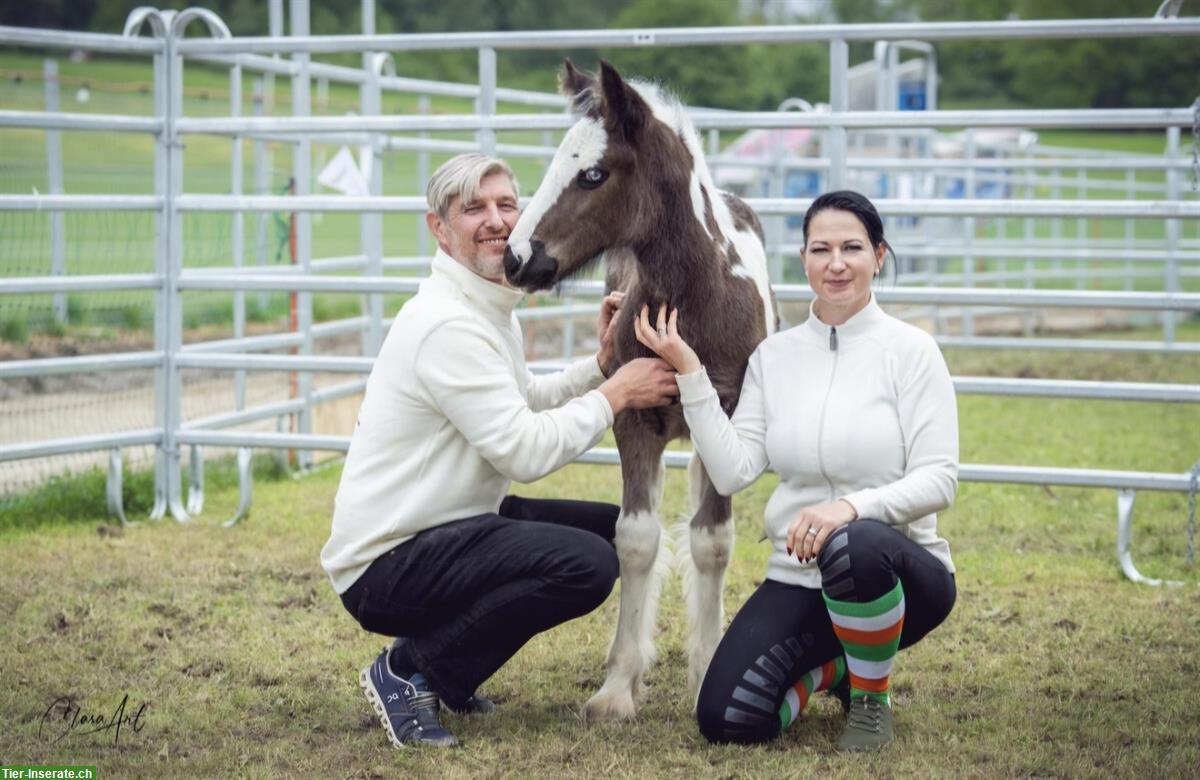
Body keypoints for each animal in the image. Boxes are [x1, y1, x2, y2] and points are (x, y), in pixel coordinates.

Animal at [504, 60, 777, 715]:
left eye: (593, 173)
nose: (515, 258)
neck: (695, 301)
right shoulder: (633, 419)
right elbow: (634, 539)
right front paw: (617, 689)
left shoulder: (729, 418)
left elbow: (711, 541)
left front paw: (706, 671)